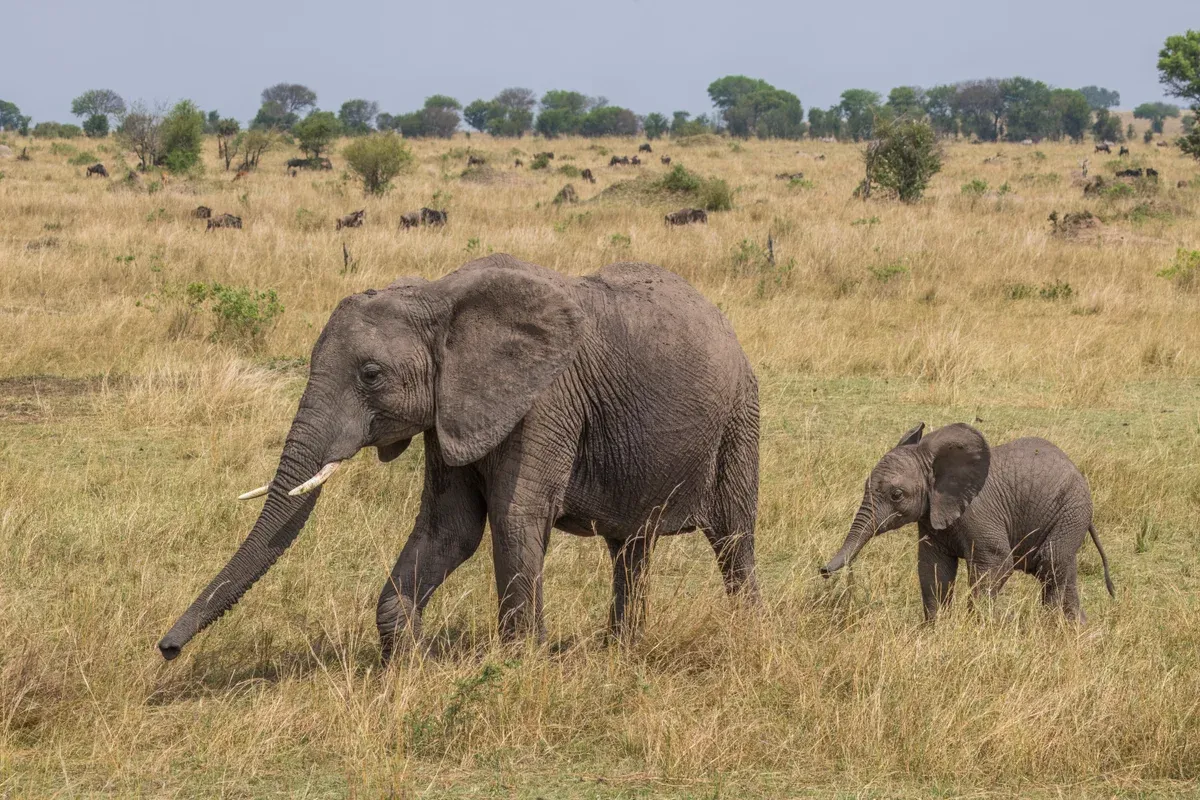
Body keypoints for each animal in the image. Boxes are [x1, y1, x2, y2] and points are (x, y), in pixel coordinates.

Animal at [158, 254, 761, 664]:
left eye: (370, 374)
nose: (166, 649)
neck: (438, 296)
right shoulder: (450, 410)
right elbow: (450, 527)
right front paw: (409, 666)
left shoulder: (545, 400)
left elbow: (516, 519)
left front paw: (520, 668)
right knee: (630, 547)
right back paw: (621, 650)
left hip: (739, 416)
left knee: (734, 538)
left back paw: (743, 639)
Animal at [820, 423, 1114, 622]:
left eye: (896, 495)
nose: (823, 570)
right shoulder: (932, 517)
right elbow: (933, 570)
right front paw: (935, 632)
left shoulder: (978, 514)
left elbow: (996, 563)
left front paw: (980, 630)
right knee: (1063, 570)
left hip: (1071, 511)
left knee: (1050, 564)